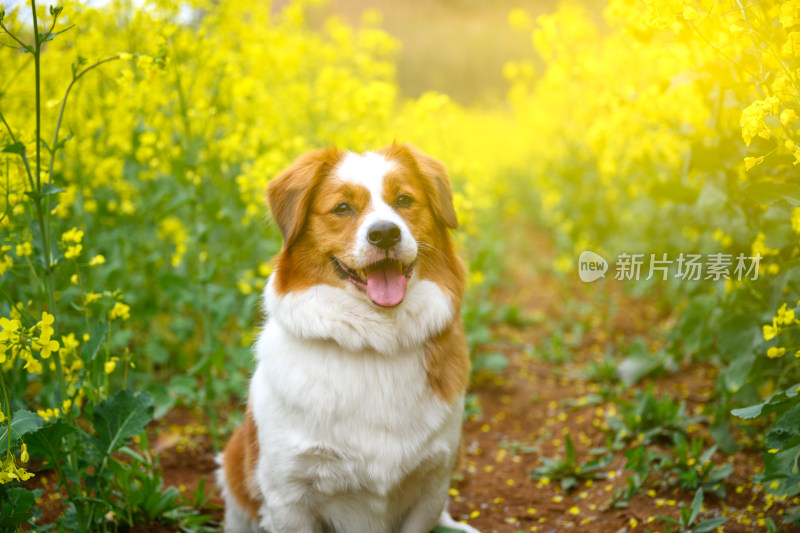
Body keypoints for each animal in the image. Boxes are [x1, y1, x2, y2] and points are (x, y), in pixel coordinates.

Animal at [219, 142, 478, 532]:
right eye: (342, 208)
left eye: (404, 200)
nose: (385, 234)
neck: (375, 339)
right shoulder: (287, 496)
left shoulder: (432, 483)